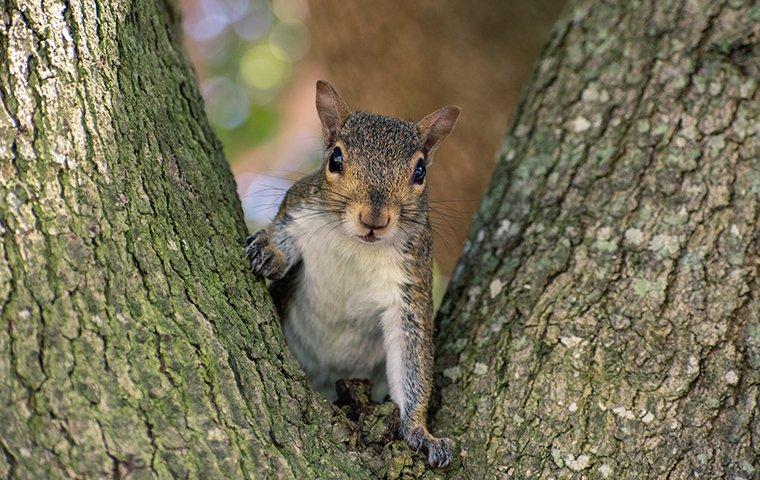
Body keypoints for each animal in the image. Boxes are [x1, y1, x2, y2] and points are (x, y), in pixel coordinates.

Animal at [246, 79, 460, 468]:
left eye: (420, 171)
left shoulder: (410, 286)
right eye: (335, 158)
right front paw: (270, 253)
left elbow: (412, 360)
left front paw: (421, 432)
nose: (374, 219)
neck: (356, 247)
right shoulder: (298, 212)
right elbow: (282, 237)